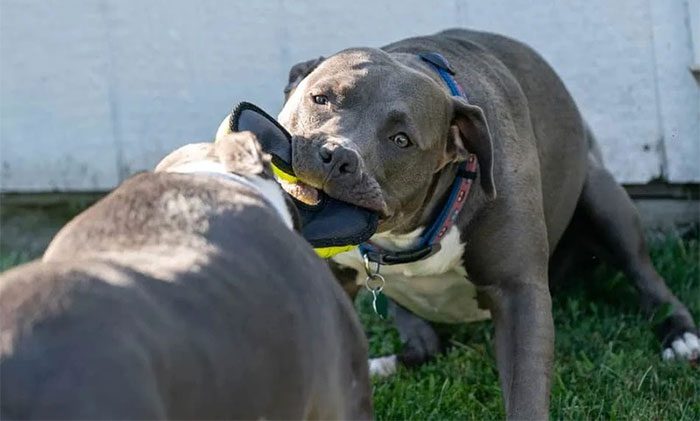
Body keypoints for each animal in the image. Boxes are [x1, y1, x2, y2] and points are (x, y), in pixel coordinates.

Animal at [252, 28, 696, 416]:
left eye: (401, 140)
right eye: (320, 98)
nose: (337, 156)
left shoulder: (519, 292)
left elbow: (526, 391)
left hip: (603, 199)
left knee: (647, 277)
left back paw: (680, 337)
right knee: (425, 345)